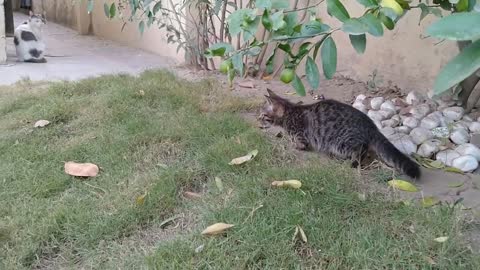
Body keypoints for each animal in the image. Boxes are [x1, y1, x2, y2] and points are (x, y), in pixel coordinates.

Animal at [258, 89, 420, 179]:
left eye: (263, 115)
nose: (258, 119)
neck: (290, 113)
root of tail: (371, 125)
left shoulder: (301, 135)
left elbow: (299, 144)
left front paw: (292, 145)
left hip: (341, 142)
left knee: (360, 151)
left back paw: (351, 162)